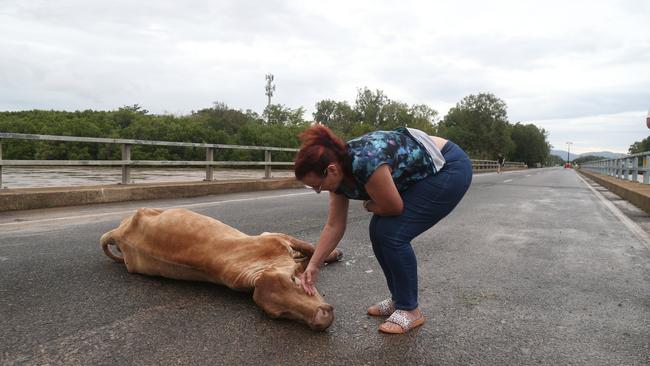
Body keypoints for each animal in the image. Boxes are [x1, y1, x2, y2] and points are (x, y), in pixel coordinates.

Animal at [99, 207, 342, 330]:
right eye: (280, 314)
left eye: (293, 280)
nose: (321, 318)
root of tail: (117, 233)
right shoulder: (274, 238)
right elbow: (309, 252)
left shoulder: (274, 237)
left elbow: (310, 248)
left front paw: (332, 254)